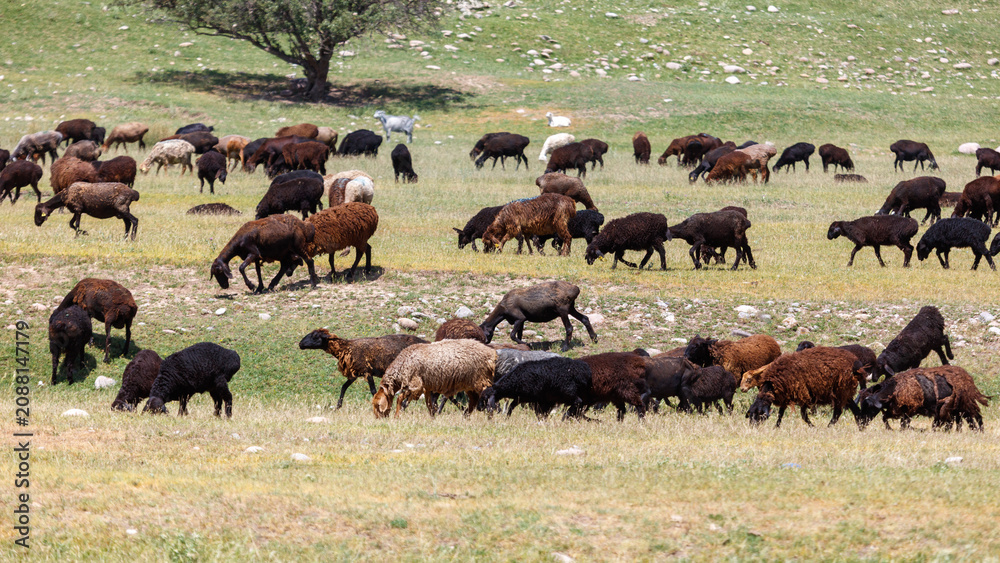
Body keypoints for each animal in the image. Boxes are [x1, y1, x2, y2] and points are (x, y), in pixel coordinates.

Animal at [299, 328, 427, 409]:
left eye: (315, 336)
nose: (300, 344)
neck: (346, 348)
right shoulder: (355, 374)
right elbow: (343, 387)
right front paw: (338, 406)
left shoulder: (367, 372)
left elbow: (373, 391)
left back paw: (405, 406)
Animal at [857, 366, 988, 431]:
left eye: (869, 407)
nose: (860, 425)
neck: (894, 388)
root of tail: (968, 378)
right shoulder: (897, 411)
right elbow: (885, 418)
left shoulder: (909, 411)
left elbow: (903, 424)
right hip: (958, 410)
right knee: (965, 421)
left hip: (964, 406)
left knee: (977, 417)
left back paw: (979, 431)